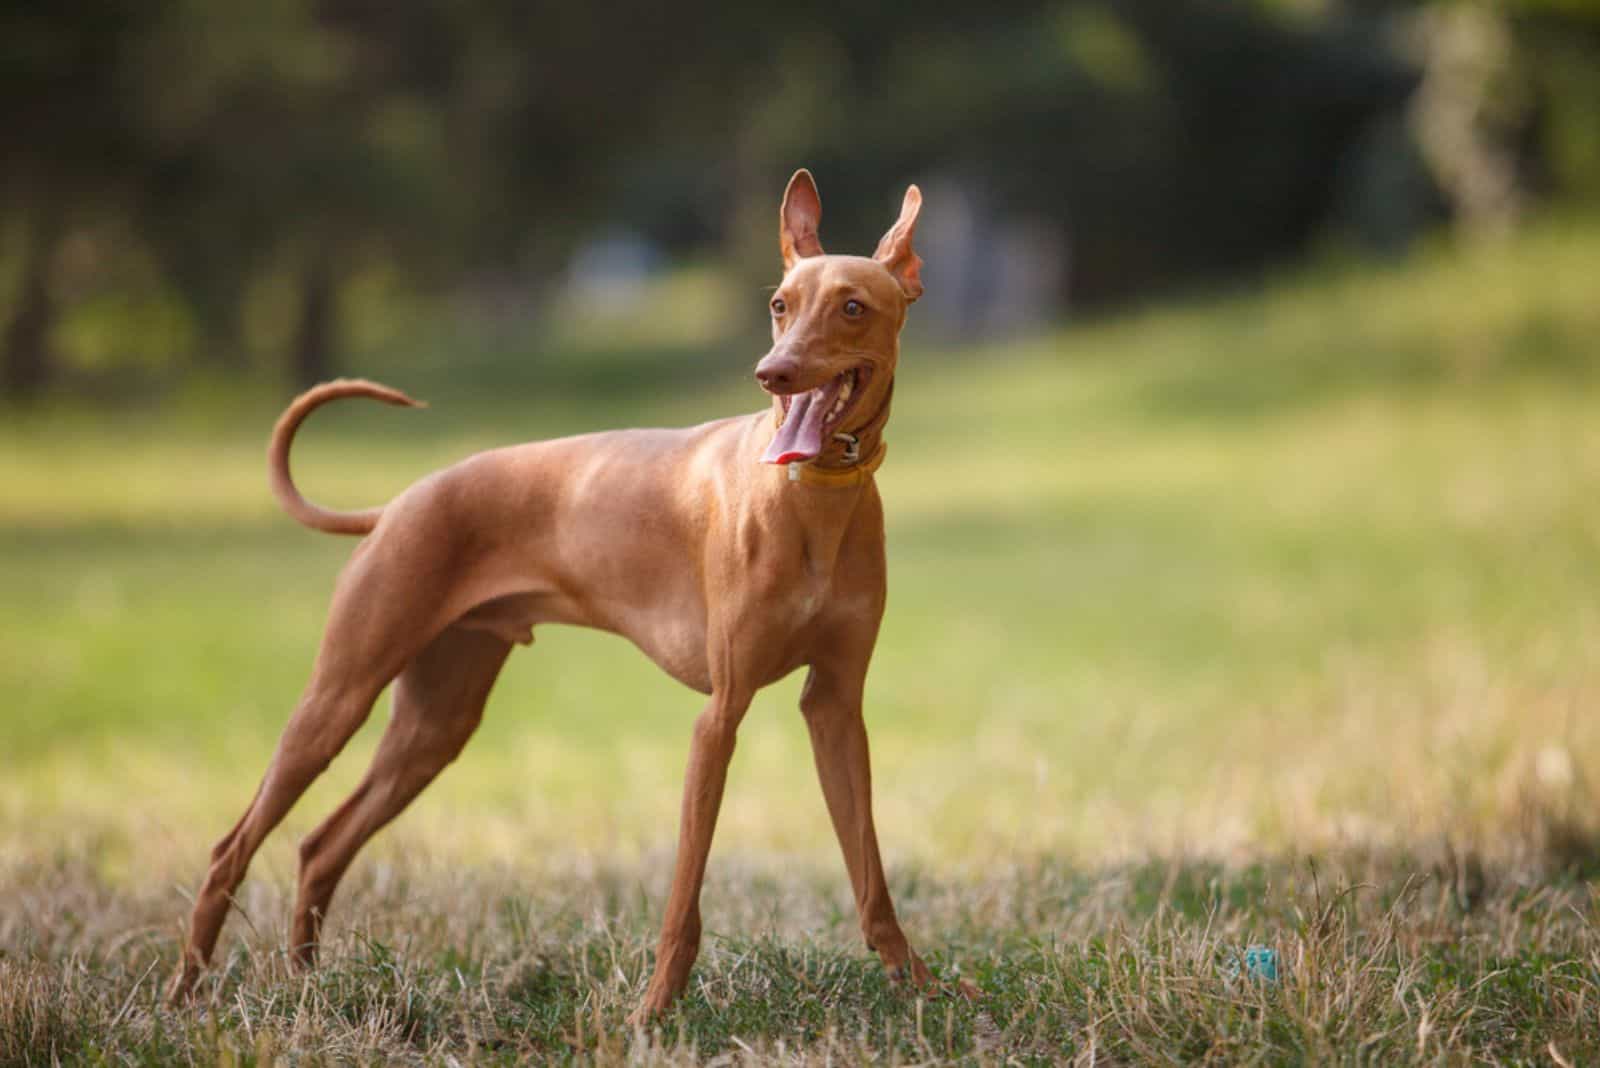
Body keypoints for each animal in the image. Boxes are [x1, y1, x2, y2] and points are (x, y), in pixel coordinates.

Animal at [165, 171, 934, 1023]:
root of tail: (397, 505)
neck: (812, 500)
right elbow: (685, 894)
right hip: (338, 698)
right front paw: (654, 1011)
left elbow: (869, 874)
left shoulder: (834, 707)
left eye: (852, 306)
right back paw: (183, 995)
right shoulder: (718, 718)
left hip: (435, 723)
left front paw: (922, 987)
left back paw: (308, 987)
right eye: (779, 304)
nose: (773, 371)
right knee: (231, 848)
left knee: (319, 845)